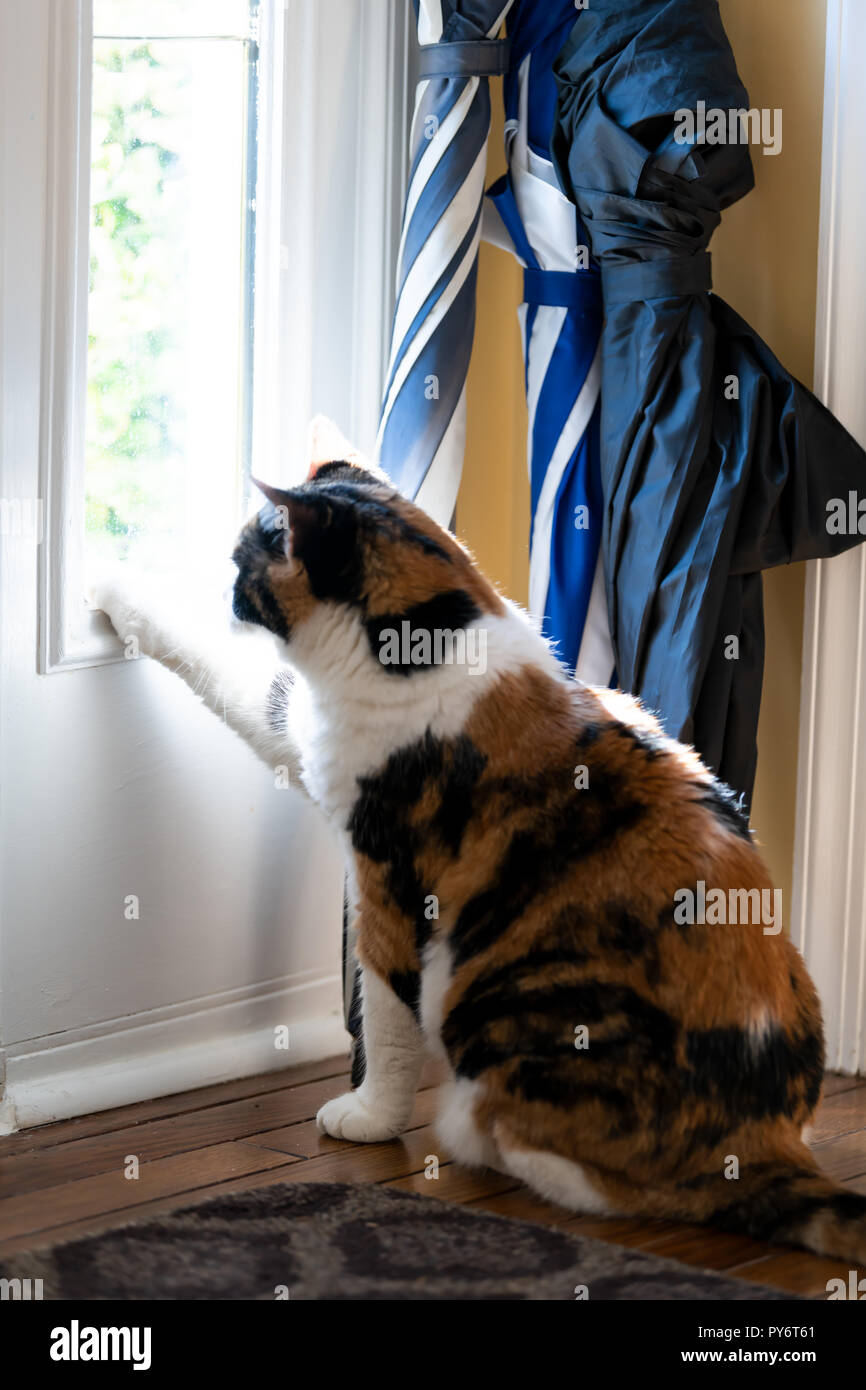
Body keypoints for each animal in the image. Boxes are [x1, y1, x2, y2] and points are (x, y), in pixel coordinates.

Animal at [91, 419, 866, 1262]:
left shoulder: (389, 884)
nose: (221, 589)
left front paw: (369, 1114)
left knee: (616, 1180)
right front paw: (113, 589)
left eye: (242, 560)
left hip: (522, 1010)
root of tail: (774, 1144)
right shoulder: (304, 735)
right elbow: (246, 688)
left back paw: (475, 1138)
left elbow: (384, 1013)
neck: (432, 634)